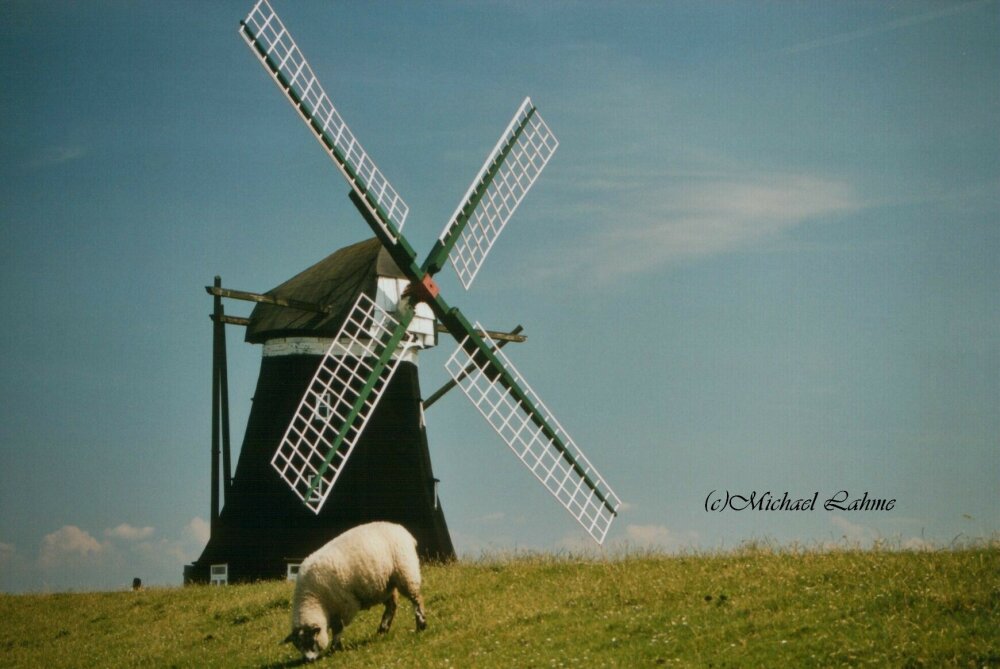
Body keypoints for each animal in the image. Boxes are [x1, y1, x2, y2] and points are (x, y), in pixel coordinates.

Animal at [282, 520, 426, 656]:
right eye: (298, 646)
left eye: (310, 642)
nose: (309, 660)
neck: (313, 599)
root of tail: (402, 530)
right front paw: (336, 647)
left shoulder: (343, 605)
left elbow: (338, 629)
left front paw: (334, 649)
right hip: (386, 583)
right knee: (392, 606)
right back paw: (382, 630)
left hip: (406, 572)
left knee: (417, 600)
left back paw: (421, 625)